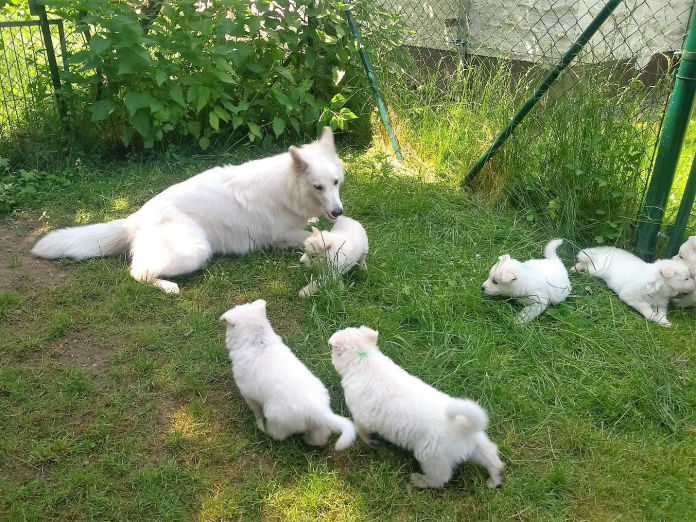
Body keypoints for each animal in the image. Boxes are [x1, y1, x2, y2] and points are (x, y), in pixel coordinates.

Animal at [32, 126, 346, 292]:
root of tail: (136, 219)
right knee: (138, 272)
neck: (287, 186)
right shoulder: (283, 237)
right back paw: (167, 286)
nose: (338, 211)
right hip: (195, 251)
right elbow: (315, 235)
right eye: (318, 187)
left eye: (336, 182)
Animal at [220, 298, 356, 448]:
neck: (258, 341)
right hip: (317, 423)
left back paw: (262, 426)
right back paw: (308, 440)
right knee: (320, 436)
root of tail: (318, 410)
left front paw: (257, 417)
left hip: (276, 418)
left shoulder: (247, 392)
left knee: (278, 434)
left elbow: (255, 409)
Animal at [328, 324, 502, 488]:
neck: (363, 359)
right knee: (492, 455)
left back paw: (419, 481)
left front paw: (370, 442)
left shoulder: (362, 417)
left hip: (431, 457)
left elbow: (362, 430)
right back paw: (495, 479)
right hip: (478, 443)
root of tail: (464, 427)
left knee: (440, 479)